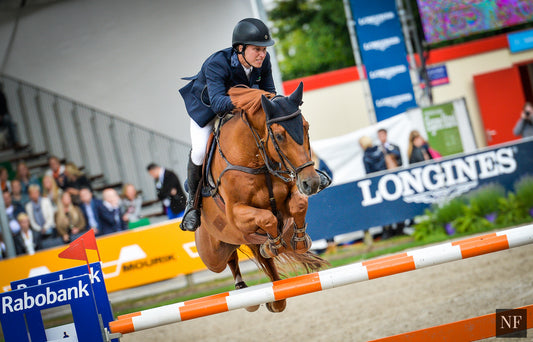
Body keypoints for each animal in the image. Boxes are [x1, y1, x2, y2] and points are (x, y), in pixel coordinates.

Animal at [195, 82, 328, 312]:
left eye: (306, 126)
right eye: (280, 135)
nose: (311, 183)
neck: (258, 161)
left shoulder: (289, 192)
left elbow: (299, 204)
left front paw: (299, 240)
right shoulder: (236, 213)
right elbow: (267, 218)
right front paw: (274, 244)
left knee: (263, 265)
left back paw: (272, 298)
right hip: (212, 254)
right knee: (229, 257)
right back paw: (242, 289)